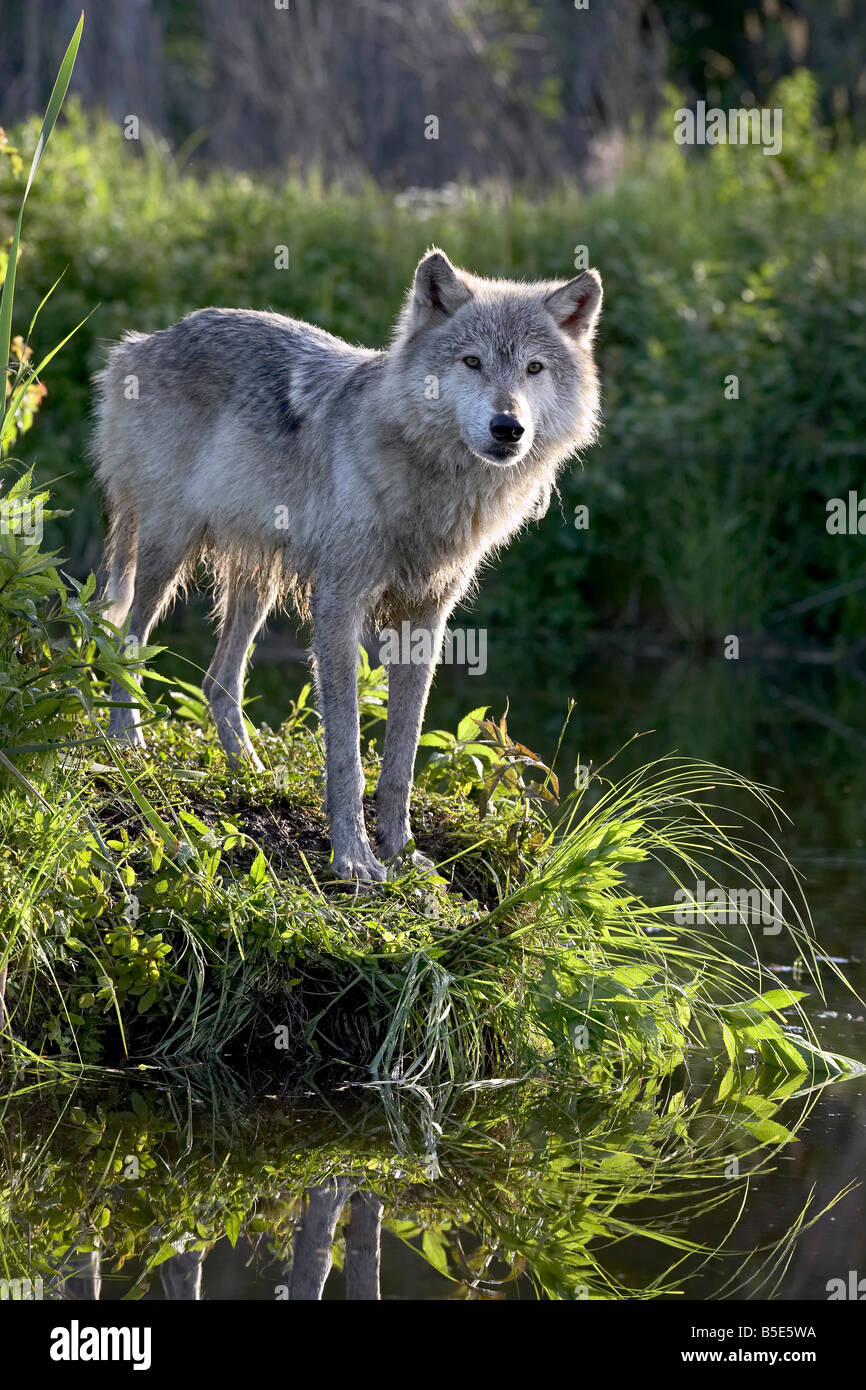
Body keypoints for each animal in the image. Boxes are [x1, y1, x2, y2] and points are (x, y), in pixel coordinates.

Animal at [91, 250, 600, 878]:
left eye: (533, 368)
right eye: (473, 362)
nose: (509, 428)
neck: (433, 489)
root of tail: (142, 342)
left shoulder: (427, 619)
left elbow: (403, 758)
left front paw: (401, 851)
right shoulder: (338, 604)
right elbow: (347, 753)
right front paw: (354, 858)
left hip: (256, 585)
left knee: (217, 682)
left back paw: (251, 775)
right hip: (166, 553)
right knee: (128, 643)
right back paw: (127, 744)